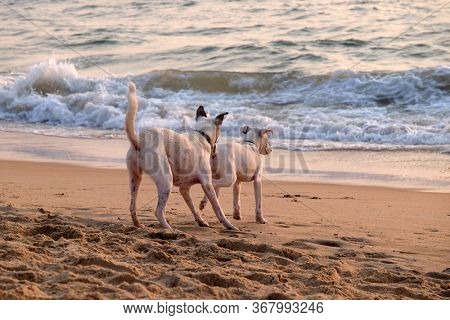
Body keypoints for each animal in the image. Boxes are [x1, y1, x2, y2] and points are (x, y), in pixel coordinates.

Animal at [125, 83, 239, 230]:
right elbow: (217, 208)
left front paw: (200, 221)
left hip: (135, 178)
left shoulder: (184, 189)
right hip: (166, 180)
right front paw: (229, 225)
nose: (215, 152)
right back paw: (169, 229)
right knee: (158, 211)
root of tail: (140, 141)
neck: (202, 134)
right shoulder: (207, 184)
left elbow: (193, 207)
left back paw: (138, 224)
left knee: (132, 206)